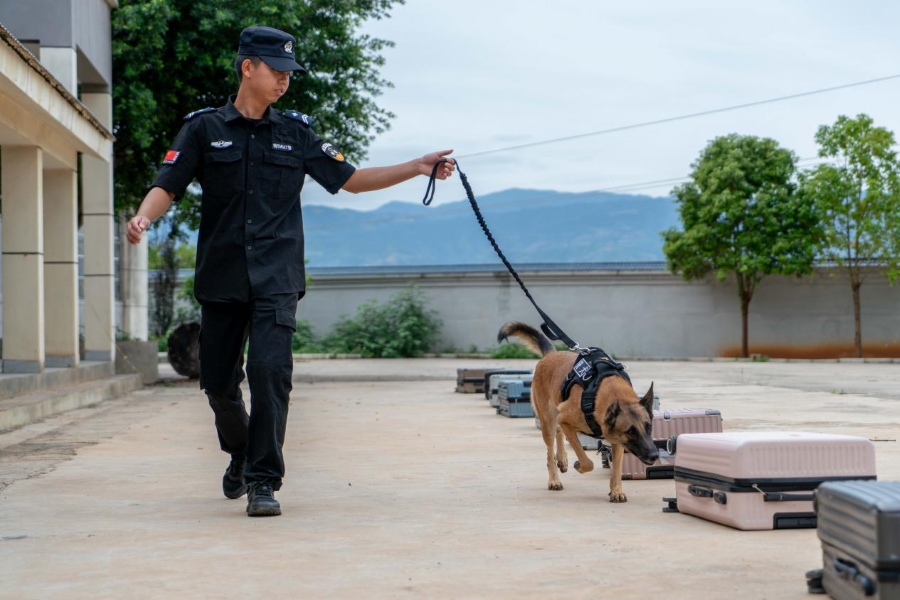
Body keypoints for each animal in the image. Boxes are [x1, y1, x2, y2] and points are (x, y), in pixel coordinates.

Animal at [498, 321, 659, 502]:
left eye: (648, 427)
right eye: (630, 431)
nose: (655, 455)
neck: (603, 390)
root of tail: (550, 355)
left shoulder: (617, 441)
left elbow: (617, 469)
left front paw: (616, 490)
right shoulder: (567, 420)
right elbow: (587, 461)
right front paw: (579, 465)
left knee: (558, 433)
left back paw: (562, 459)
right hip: (548, 422)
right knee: (550, 450)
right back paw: (554, 479)